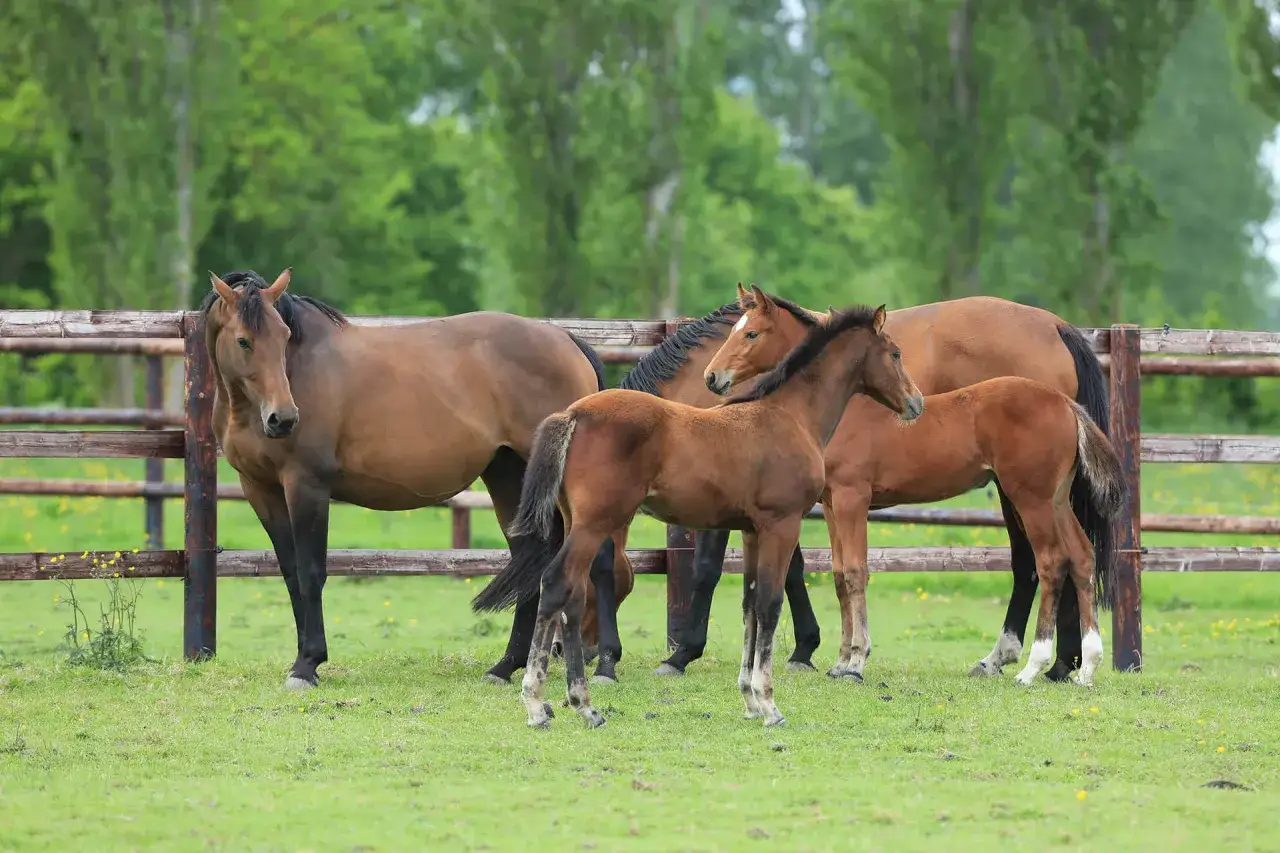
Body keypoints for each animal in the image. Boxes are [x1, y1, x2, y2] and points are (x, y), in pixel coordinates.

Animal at [201, 268, 632, 689]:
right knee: (533, 558)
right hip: (511, 477)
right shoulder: (260, 489)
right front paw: (303, 661)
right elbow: (290, 574)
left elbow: (311, 573)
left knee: (600, 560)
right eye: (243, 341)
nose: (284, 419)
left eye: (285, 337)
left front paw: (308, 665)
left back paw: (605, 666)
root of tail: (566, 340)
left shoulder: (306, 486)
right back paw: (505, 667)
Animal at [475, 304, 925, 729]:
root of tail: (573, 415)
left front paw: (749, 701)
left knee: (572, 593)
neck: (789, 416)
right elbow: (769, 602)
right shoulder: (781, 524)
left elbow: (749, 604)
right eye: (896, 353)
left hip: (575, 520)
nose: (916, 402)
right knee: (556, 583)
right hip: (595, 522)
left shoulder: (752, 531)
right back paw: (553, 705)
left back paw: (572, 701)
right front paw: (769, 704)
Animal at [646, 287, 1110, 682]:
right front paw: (835, 659)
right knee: (1080, 555)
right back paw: (1080, 667)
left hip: (1027, 497)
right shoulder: (831, 503)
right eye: (736, 330)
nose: (713, 378)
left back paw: (1034, 666)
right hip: (1054, 499)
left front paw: (854, 662)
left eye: (751, 332)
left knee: (1045, 561)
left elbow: (853, 572)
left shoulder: (851, 498)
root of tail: (1065, 405)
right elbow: (835, 574)